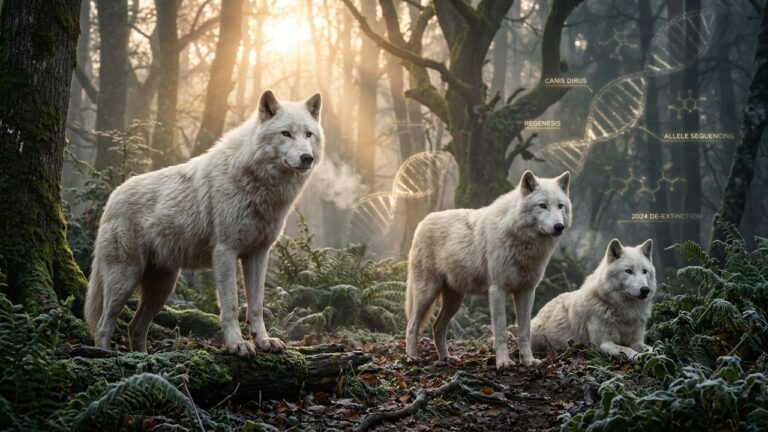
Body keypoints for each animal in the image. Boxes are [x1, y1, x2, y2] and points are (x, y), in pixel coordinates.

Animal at [84, 90, 324, 357]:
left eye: (308, 134)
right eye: (285, 133)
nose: (307, 158)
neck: (258, 184)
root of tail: (112, 198)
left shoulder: (258, 254)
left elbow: (256, 305)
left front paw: (263, 341)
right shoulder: (225, 252)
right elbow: (231, 304)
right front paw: (237, 344)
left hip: (163, 286)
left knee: (134, 326)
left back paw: (142, 357)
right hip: (125, 279)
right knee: (103, 323)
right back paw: (104, 354)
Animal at [405, 170, 572, 369]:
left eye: (560, 206)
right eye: (543, 205)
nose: (559, 227)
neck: (520, 240)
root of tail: (422, 222)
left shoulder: (527, 291)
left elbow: (525, 331)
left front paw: (528, 361)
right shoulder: (497, 290)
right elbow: (500, 331)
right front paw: (504, 362)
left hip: (455, 300)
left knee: (436, 327)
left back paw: (446, 358)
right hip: (427, 293)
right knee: (412, 325)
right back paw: (412, 357)